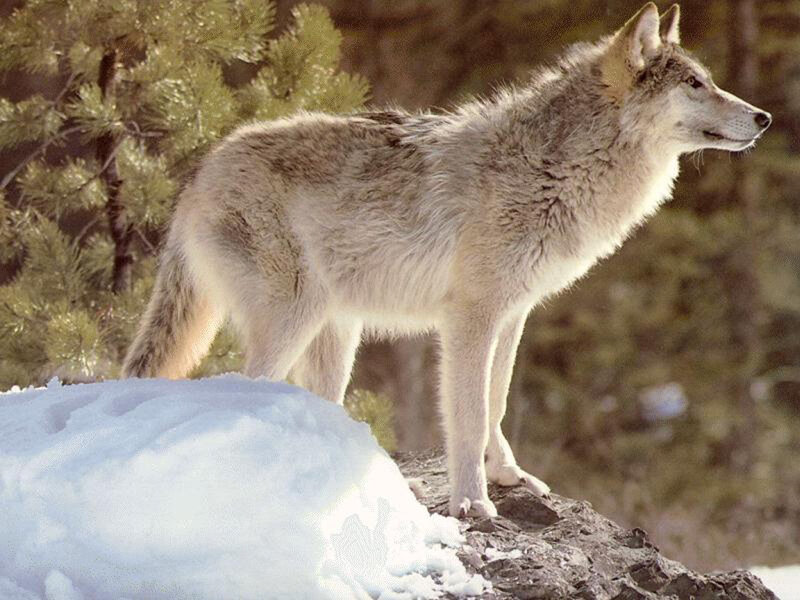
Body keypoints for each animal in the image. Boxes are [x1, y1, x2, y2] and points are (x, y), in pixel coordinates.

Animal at [123, 3, 770, 517]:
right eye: (695, 84)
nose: (764, 117)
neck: (553, 168)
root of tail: (199, 175)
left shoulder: (513, 314)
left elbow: (497, 402)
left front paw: (510, 477)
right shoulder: (469, 318)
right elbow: (467, 414)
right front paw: (473, 503)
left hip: (337, 335)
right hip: (294, 319)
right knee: (242, 388)